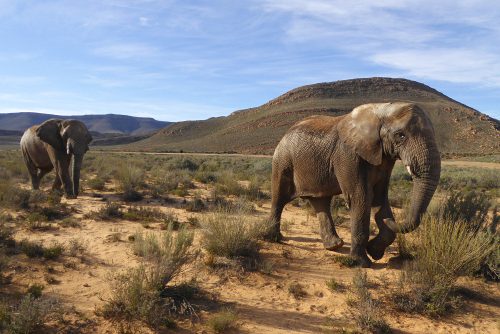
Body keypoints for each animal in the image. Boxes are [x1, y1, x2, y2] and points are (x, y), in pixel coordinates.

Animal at [270, 102, 442, 266]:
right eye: (400, 135)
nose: (393, 220)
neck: (382, 110)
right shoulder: (348, 155)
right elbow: (361, 197)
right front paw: (361, 263)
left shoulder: (383, 158)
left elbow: (379, 198)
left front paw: (374, 251)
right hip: (282, 160)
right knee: (279, 198)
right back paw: (272, 238)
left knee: (321, 201)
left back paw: (334, 246)